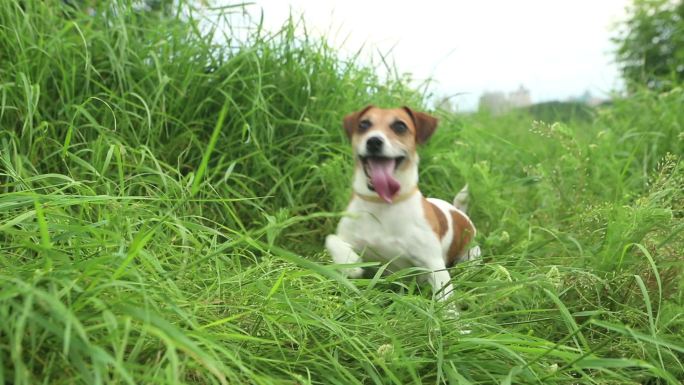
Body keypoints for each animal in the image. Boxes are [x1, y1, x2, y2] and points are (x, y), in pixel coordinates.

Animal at [328, 105, 480, 300]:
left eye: (400, 126)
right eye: (363, 124)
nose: (374, 141)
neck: (383, 203)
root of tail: (457, 210)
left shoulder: (433, 263)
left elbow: (445, 297)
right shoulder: (348, 236)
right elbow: (331, 239)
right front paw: (349, 261)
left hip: (471, 253)